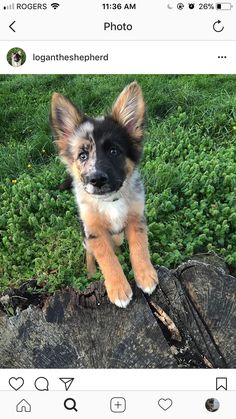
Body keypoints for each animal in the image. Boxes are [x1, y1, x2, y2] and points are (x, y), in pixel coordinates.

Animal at [51, 82, 159, 308]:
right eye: (82, 156)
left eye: (113, 151)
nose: (97, 179)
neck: (111, 200)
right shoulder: (93, 231)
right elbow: (107, 258)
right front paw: (118, 289)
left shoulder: (137, 218)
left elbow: (139, 247)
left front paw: (145, 276)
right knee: (90, 253)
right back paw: (91, 272)